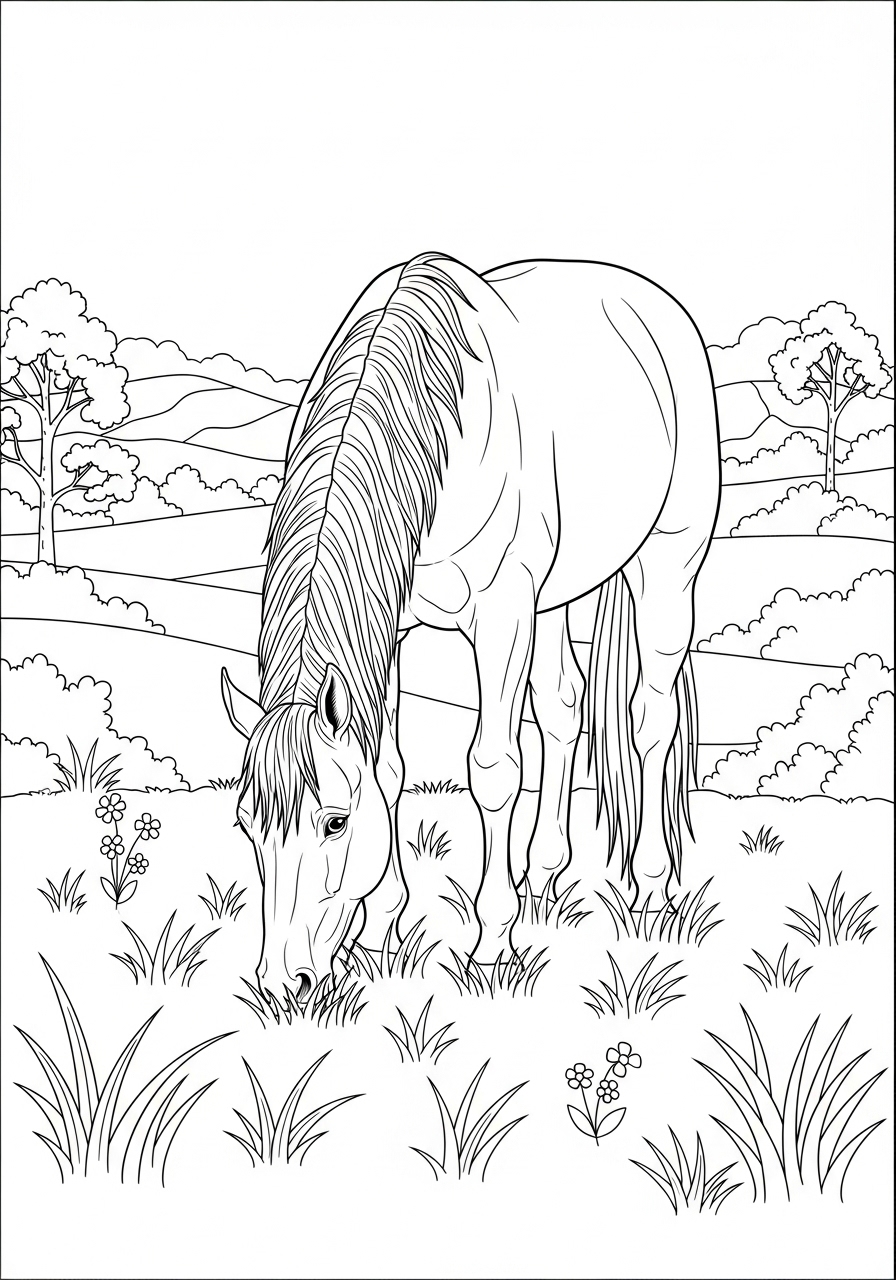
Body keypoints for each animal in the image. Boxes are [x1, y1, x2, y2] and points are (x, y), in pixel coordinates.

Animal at [222, 252, 720, 1010]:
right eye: (247, 824)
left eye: (336, 821)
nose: (284, 983)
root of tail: (652, 302)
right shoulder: (395, 622)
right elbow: (390, 768)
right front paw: (382, 929)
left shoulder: (502, 612)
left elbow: (492, 769)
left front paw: (490, 943)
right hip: (556, 597)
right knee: (564, 706)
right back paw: (543, 877)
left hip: (667, 567)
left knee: (650, 719)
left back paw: (652, 890)